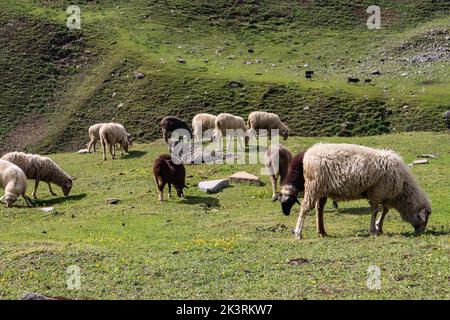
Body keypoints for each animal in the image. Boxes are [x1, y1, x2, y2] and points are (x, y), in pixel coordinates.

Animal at [282, 144, 432, 239]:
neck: (402, 190)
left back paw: (321, 232)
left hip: (321, 189)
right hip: (313, 186)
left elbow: (385, 210)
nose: (422, 232)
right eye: (424, 218)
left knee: (317, 209)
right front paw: (374, 230)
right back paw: (298, 233)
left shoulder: (385, 195)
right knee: (305, 208)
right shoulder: (377, 192)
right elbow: (375, 210)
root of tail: (308, 154)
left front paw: (379, 227)